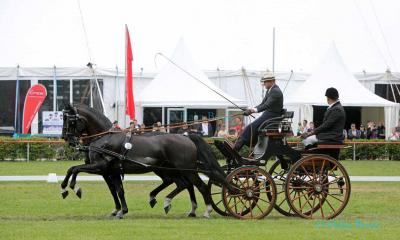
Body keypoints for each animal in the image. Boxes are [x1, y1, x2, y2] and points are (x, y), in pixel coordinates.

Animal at [60, 104, 230, 218]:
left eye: (71, 121)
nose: (66, 138)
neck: (105, 138)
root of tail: (185, 136)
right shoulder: (109, 171)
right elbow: (116, 190)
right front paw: (120, 210)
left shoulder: (100, 166)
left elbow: (75, 169)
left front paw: (72, 188)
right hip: (170, 169)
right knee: (184, 184)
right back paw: (174, 204)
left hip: (185, 169)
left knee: (199, 186)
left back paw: (206, 211)